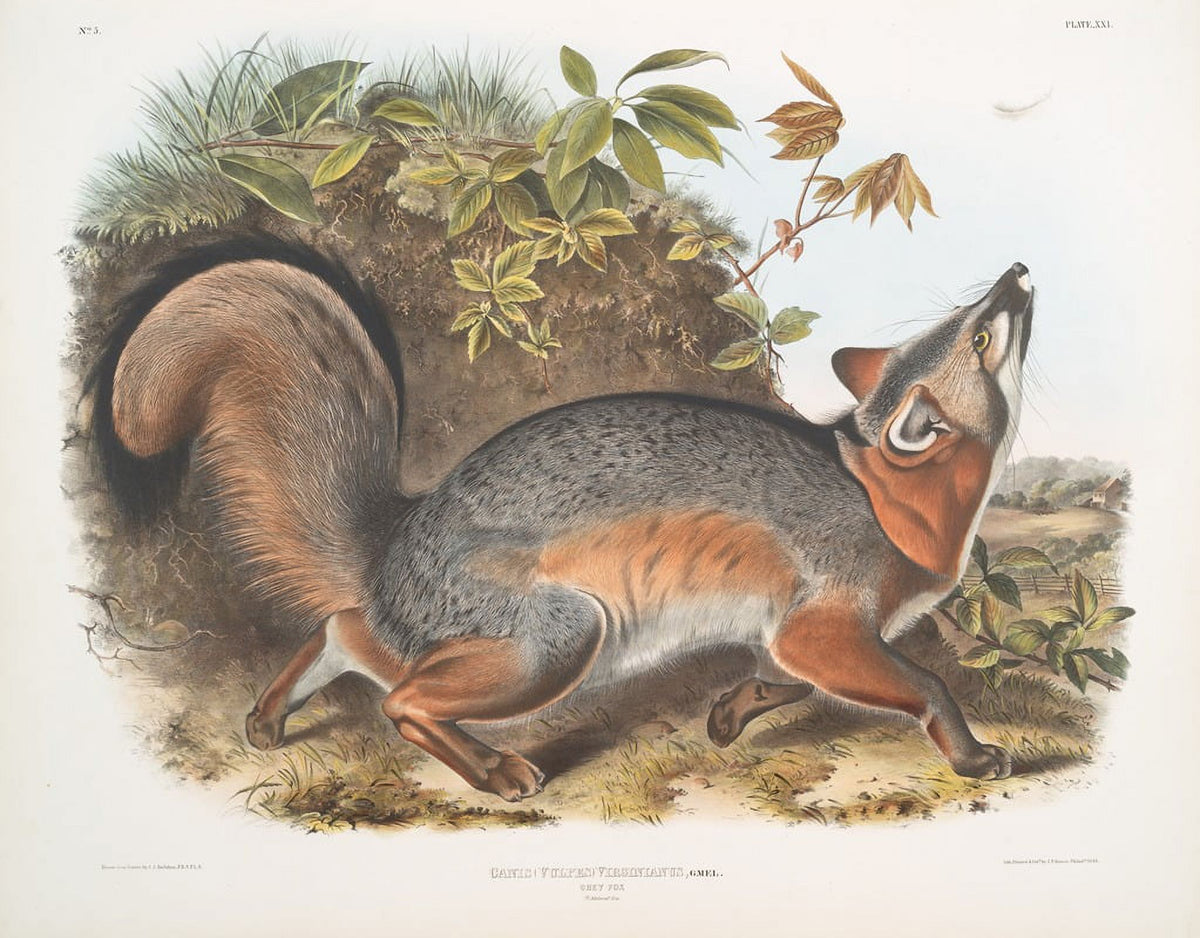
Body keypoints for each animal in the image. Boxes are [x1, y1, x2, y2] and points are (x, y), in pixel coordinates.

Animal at [89, 238, 1033, 801]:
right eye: (980, 335)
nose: (1017, 273)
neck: (886, 494)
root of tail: (400, 534)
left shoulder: (794, 630)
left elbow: (784, 677)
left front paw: (730, 715)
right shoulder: (823, 623)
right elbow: (925, 683)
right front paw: (971, 754)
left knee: (345, 630)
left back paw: (270, 715)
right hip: (561, 639)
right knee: (400, 697)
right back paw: (495, 770)